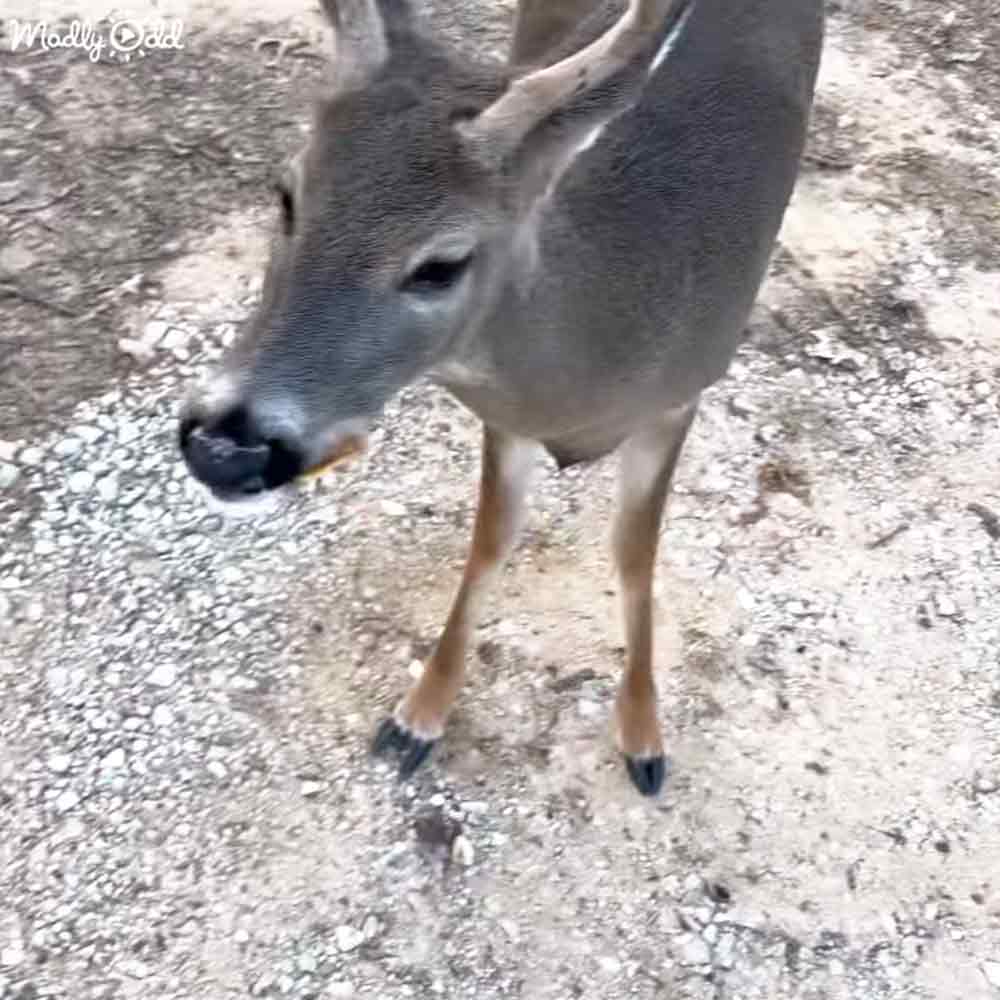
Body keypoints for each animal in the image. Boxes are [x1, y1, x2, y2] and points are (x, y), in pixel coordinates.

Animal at [178, 0, 824, 796]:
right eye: (287, 196)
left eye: (441, 264)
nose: (224, 448)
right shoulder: (505, 420)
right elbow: (491, 542)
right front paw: (417, 716)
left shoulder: (681, 396)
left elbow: (634, 553)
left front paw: (643, 734)